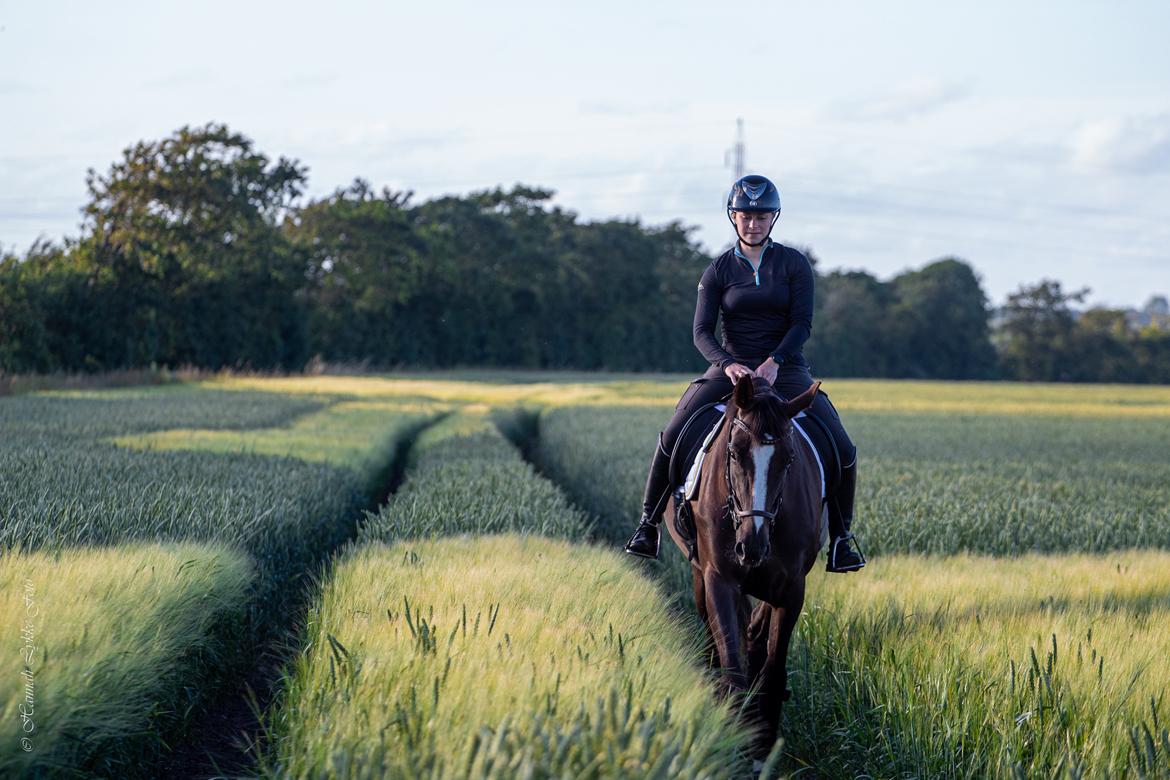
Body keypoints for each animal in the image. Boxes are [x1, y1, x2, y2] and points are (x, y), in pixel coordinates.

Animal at [664, 374, 828, 757]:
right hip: (699, 575)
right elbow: (733, 674)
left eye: (788, 459)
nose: (752, 546)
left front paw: (761, 747)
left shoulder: (791, 588)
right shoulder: (719, 579)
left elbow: (773, 674)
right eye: (735, 452)